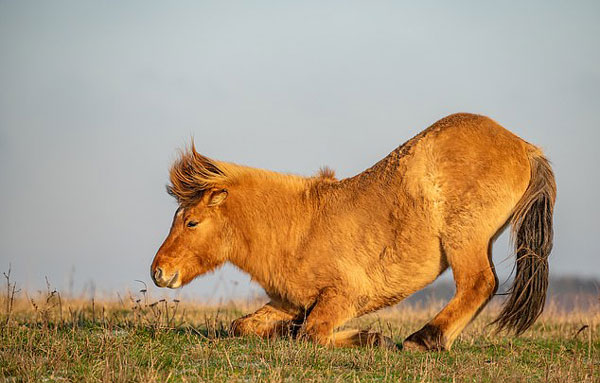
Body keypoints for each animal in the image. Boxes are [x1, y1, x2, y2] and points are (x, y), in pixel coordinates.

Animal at [151, 113, 556, 352]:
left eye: (191, 222)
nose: (158, 272)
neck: (297, 228)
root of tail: (524, 147)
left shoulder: (344, 295)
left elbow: (312, 333)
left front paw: (371, 337)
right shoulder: (288, 301)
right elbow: (243, 326)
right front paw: (285, 330)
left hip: (465, 239)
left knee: (479, 283)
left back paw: (424, 340)